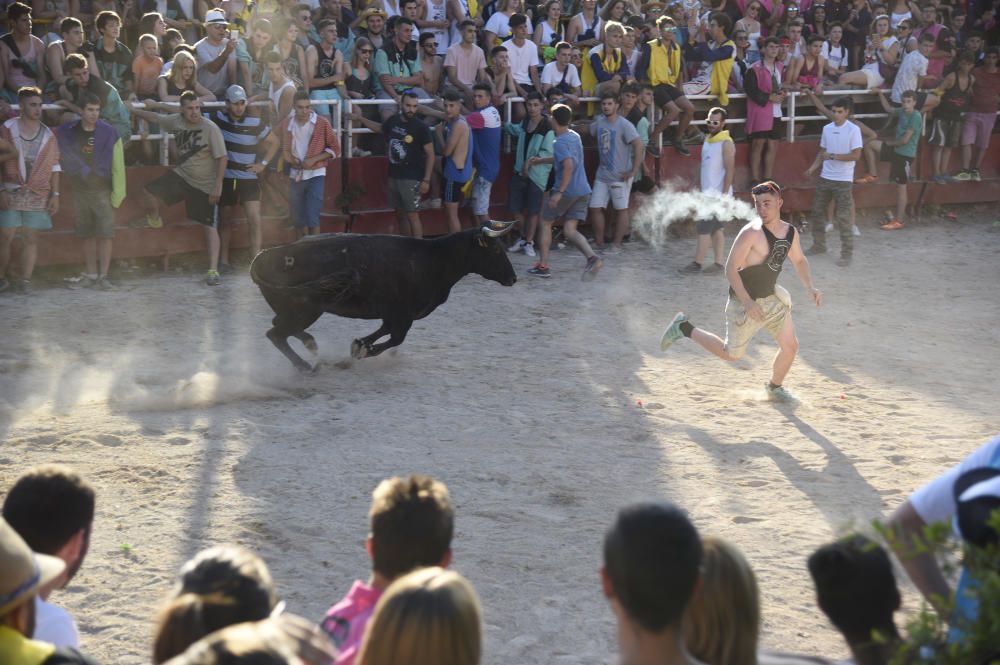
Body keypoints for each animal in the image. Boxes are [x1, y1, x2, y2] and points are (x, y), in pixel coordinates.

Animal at [252, 222, 516, 368]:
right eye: (495, 250)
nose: (513, 278)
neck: (434, 259)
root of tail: (263, 256)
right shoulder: (403, 314)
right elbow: (395, 338)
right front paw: (364, 351)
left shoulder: (393, 314)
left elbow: (383, 331)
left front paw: (358, 345)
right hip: (306, 310)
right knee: (275, 334)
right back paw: (306, 367)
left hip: (292, 310)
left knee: (280, 327)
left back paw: (311, 345)